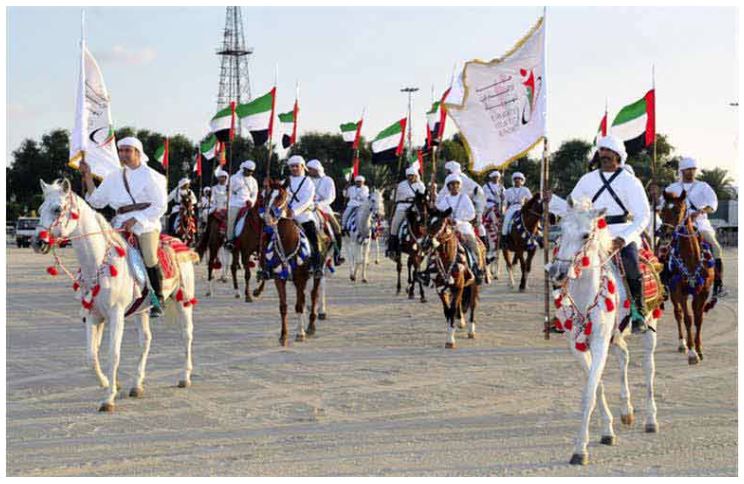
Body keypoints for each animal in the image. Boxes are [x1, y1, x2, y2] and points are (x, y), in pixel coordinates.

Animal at [33, 179, 198, 412]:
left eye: (57, 209)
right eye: (39, 210)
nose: (37, 243)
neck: (99, 262)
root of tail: (181, 243)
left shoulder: (116, 315)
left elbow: (113, 355)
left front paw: (109, 398)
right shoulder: (93, 315)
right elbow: (91, 356)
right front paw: (108, 383)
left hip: (184, 301)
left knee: (186, 335)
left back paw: (185, 377)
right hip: (143, 310)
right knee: (145, 340)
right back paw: (137, 385)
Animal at [266, 181, 326, 344]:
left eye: (281, 196)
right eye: (267, 194)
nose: (268, 217)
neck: (288, 241)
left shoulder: (300, 278)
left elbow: (299, 305)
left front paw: (300, 333)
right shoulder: (279, 278)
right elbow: (283, 306)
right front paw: (283, 335)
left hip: (315, 275)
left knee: (313, 295)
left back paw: (310, 326)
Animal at [422, 207, 480, 348]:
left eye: (440, 224)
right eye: (428, 222)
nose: (426, 243)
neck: (447, 259)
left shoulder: (458, 287)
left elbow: (452, 309)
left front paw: (450, 339)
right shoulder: (441, 289)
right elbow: (447, 310)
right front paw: (450, 334)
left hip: (474, 284)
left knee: (472, 305)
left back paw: (471, 330)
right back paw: (461, 322)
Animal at [548, 196, 656, 466]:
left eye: (586, 235)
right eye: (561, 229)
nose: (557, 273)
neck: (586, 296)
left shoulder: (598, 343)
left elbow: (588, 392)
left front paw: (580, 449)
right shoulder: (578, 345)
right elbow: (596, 385)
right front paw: (607, 430)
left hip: (650, 328)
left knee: (649, 368)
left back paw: (651, 419)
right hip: (615, 337)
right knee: (624, 356)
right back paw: (627, 411)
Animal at [660, 189, 716, 364]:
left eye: (678, 210)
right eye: (661, 211)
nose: (664, 234)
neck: (691, 258)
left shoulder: (703, 291)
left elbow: (698, 318)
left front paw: (699, 349)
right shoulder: (680, 291)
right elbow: (687, 318)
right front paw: (692, 352)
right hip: (673, 292)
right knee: (678, 314)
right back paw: (682, 344)